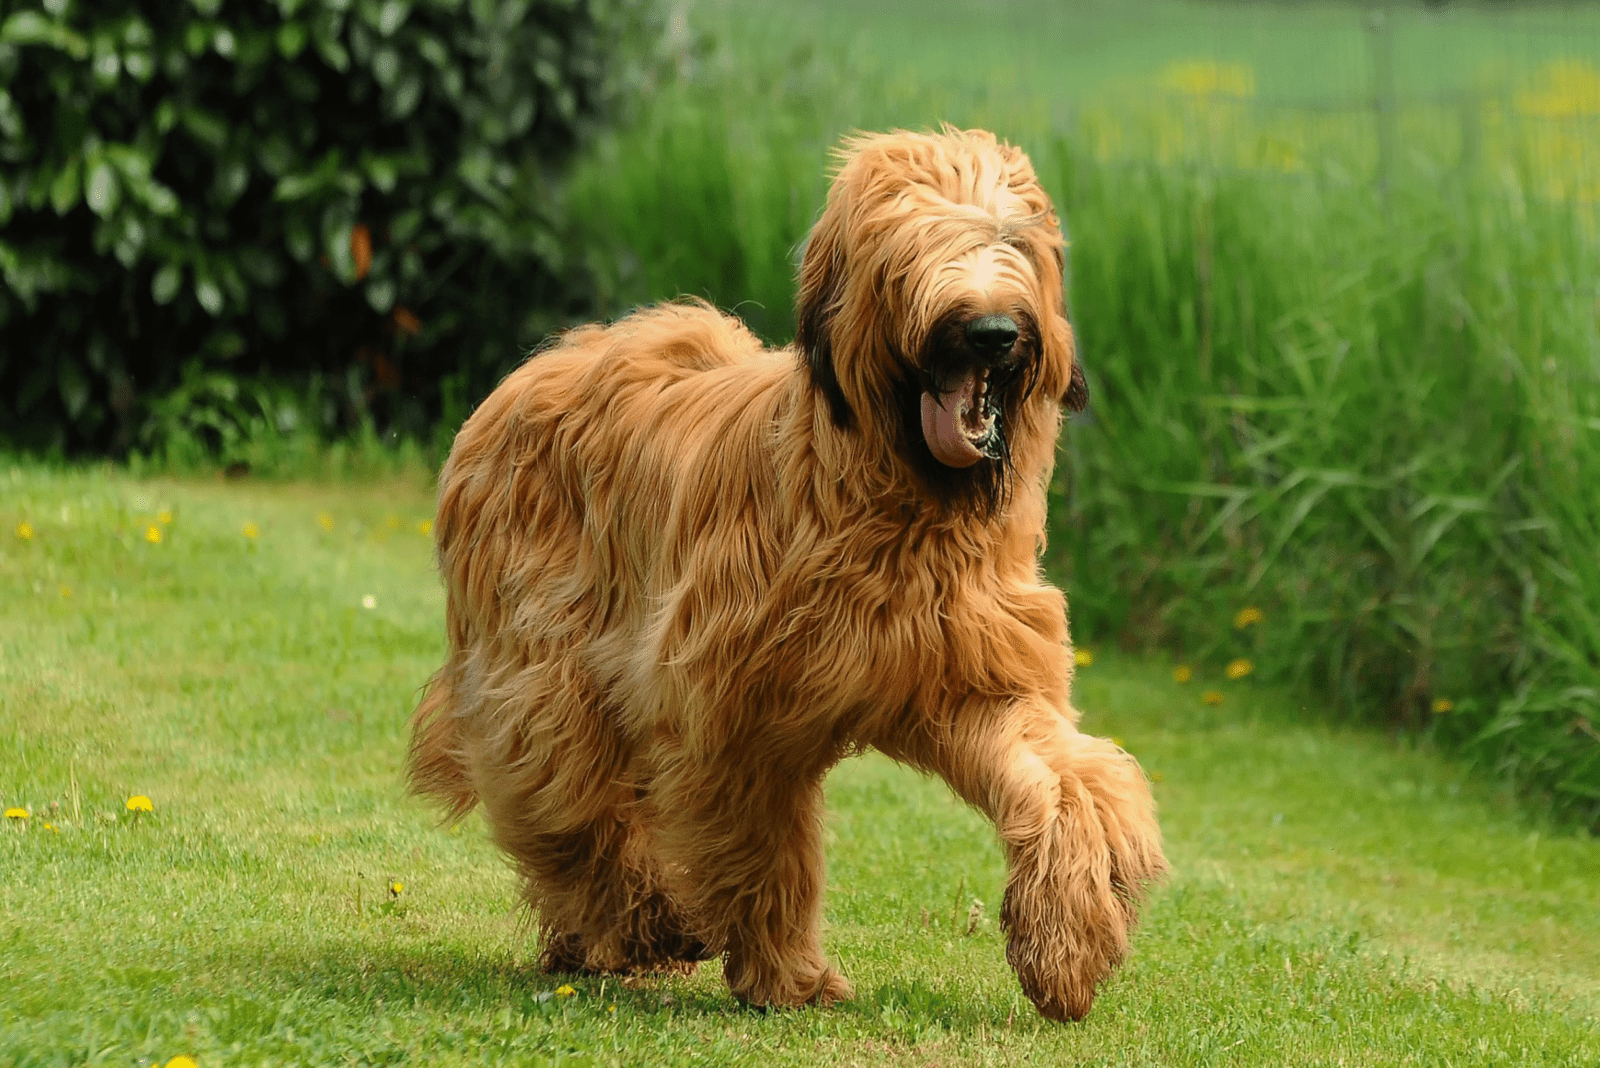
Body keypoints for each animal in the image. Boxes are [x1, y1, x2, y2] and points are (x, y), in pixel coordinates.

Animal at [409, 127, 1164, 1023]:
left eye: (1010, 240)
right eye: (909, 247)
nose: (990, 333)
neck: (901, 510)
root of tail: (547, 365)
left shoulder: (972, 678)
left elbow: (1068, 783)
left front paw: (1068, 947)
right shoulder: (736, 714)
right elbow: (766, 848)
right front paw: (787, 978)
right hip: (545, 663)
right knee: (568, 795)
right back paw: (639, 922)